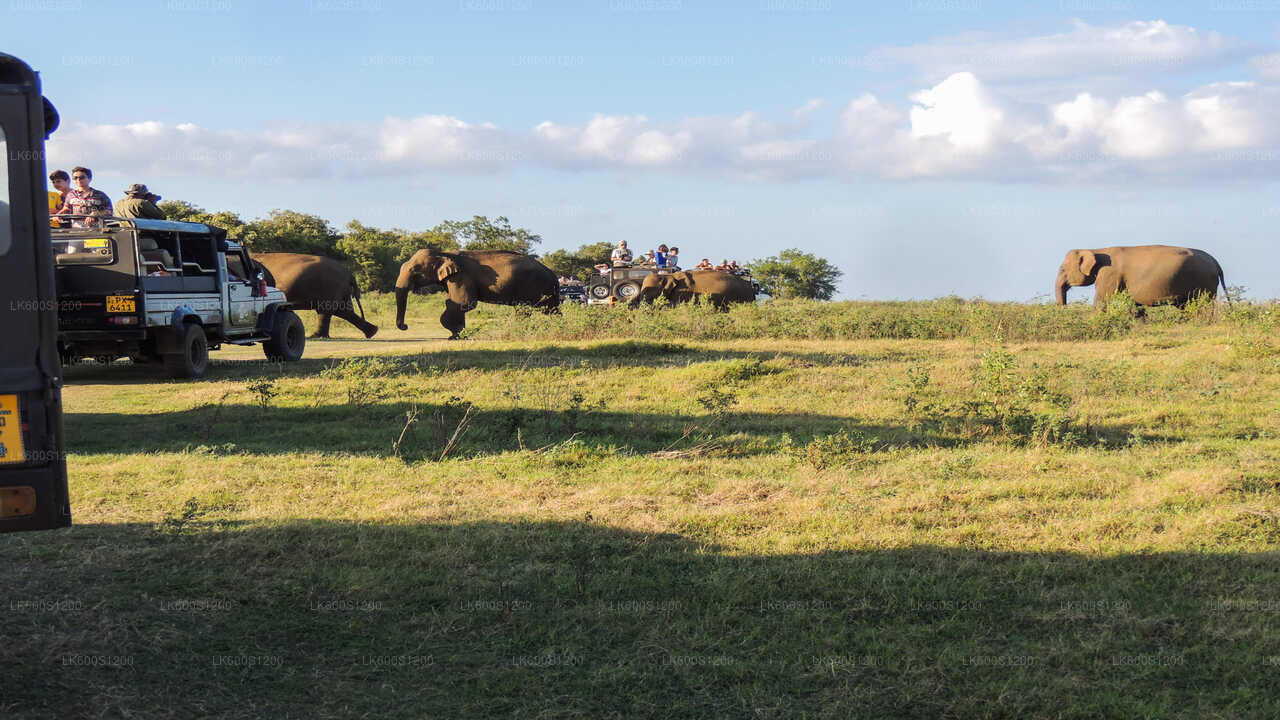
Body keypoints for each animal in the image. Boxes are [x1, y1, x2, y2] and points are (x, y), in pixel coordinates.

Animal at [394, 249, 559, 339]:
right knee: (550, 310)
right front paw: (457, 335)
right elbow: (453, 303)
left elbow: (464, 303)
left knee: (525, 309)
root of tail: (552, 273)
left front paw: (455, 337)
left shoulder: (461, 277)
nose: (405, 326)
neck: (444, 253)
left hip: (533, 285)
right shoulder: (451, 280)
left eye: (415, 270)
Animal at [1054, 245, 1227, 308]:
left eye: (1062, 269)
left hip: (1205, 281)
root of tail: (1216, 262)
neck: (1097, 249)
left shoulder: (1109, 275)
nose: (1065, 309)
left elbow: (1101, 302)